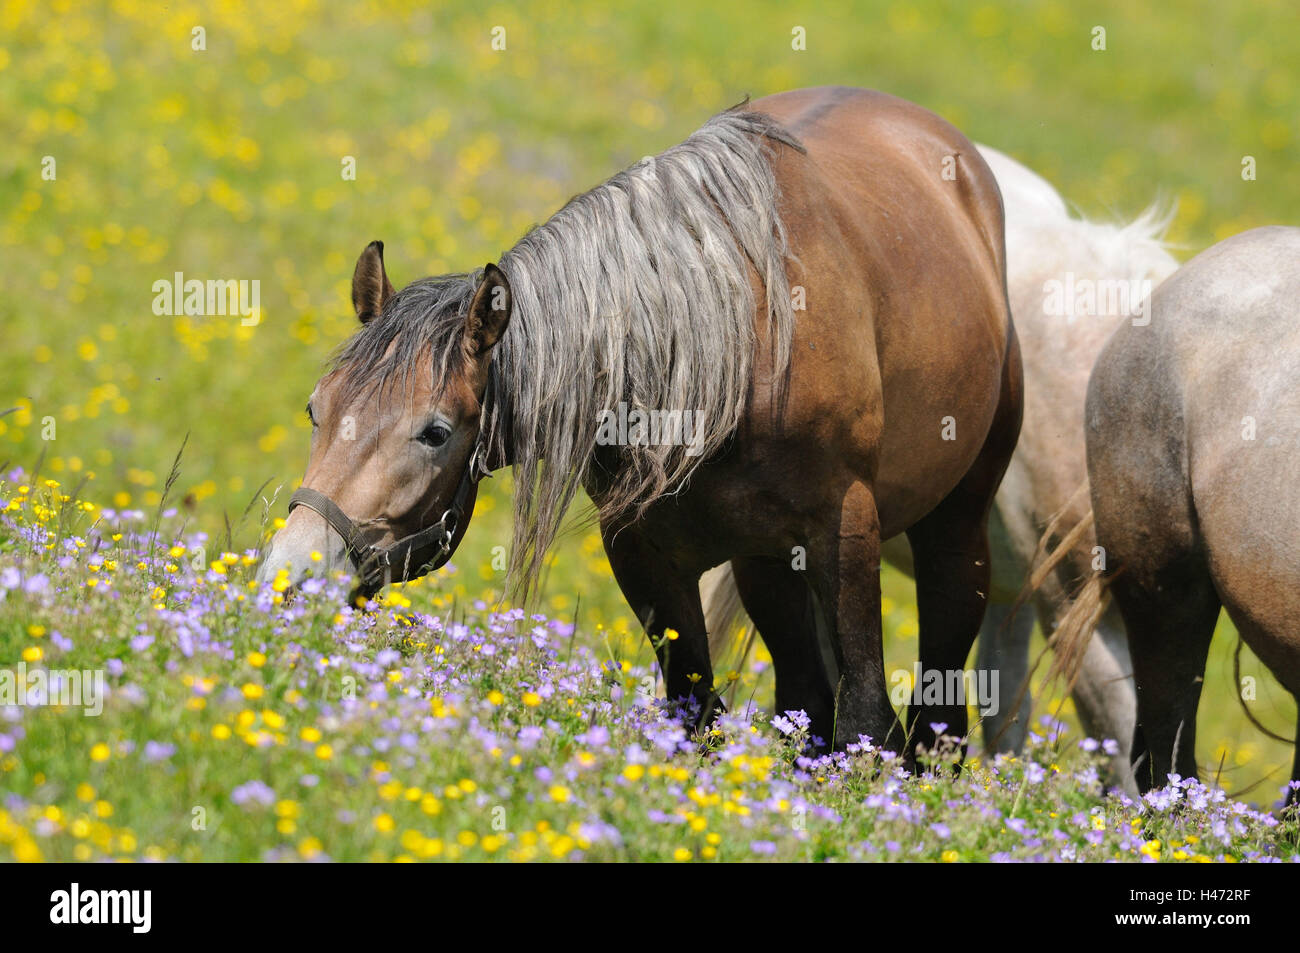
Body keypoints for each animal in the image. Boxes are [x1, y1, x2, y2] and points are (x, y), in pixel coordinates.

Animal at [256, 89, 1024, 759]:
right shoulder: (642, 552)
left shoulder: (846, 530)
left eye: (435, 432)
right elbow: (697, 714)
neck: (726, 350)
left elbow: (866, 718)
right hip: (766, 565)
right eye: (316, 409)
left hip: (955, 530)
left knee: (936, 712)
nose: (291, 578)